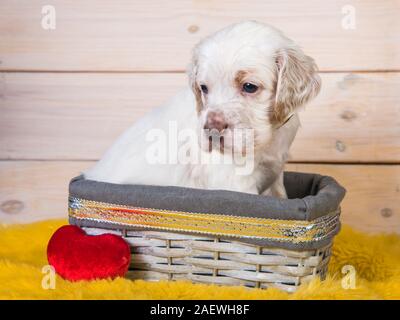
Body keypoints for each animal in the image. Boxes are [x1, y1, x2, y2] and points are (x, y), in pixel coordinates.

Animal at [85, 20, 322, 198]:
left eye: (249, 86)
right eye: (204, 88)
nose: (212, 128)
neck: (266, 141)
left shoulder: (275, 174)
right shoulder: (236, 181)